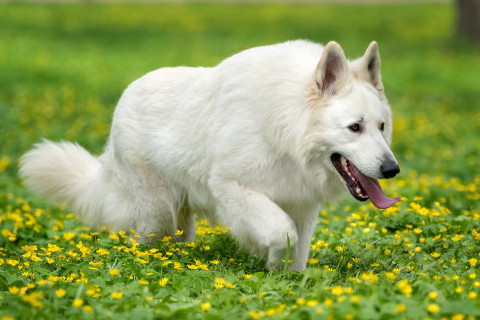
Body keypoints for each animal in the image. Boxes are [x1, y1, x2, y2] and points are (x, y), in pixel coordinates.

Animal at [20, 39, 400, 270]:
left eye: (381, 127)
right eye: (354, 127)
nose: (392, 169)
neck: (284, 125)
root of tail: (127, 93)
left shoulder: (302, 203)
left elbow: (298, 250)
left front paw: (287, 281)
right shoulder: (233, 188)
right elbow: (282, 233)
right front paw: (269, 261)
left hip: (178, 216)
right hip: (156, 216)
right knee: (143, 241)